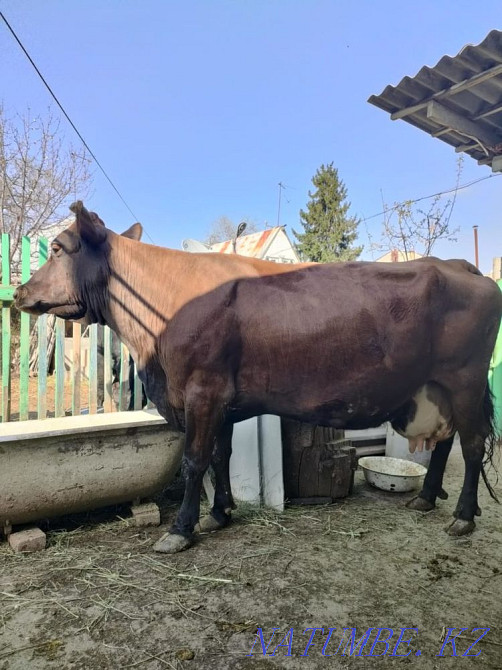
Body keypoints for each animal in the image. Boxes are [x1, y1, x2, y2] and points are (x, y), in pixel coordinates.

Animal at [14, 202, 502, 554]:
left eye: (57, 248)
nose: (19, 291)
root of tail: (461, 265)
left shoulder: (202, 389)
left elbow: (195, 459)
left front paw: (181, 529)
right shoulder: (220, 401)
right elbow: (220, 455)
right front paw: (220, 513)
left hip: (465, 380)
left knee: (472, 444)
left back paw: (463, 515)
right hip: (438, 388)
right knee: (446, 442)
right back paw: (427, 497)